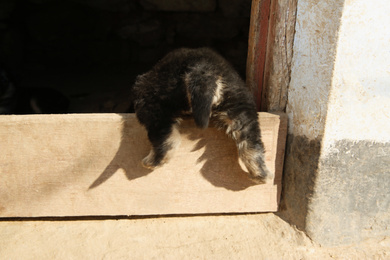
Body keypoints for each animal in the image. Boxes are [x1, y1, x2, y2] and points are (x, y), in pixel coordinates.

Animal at [133, 47, 272, 184]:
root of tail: (203, 68)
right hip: (240, 104)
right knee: (250, 141)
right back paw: (260, 174)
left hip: (152, 100)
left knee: (163, 135)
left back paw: (153, 161)